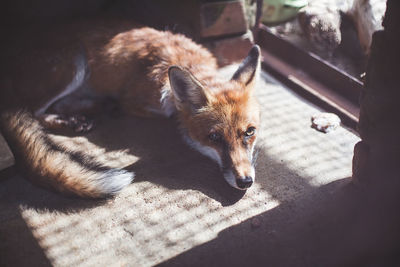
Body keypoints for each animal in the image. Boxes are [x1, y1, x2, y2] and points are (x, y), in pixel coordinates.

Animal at [0, 19, 260, 199]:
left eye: (250, 132)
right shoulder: (137, 102)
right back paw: (75, 119)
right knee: (34, 112)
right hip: (75, 62)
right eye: (214, 137)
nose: (245, 181)